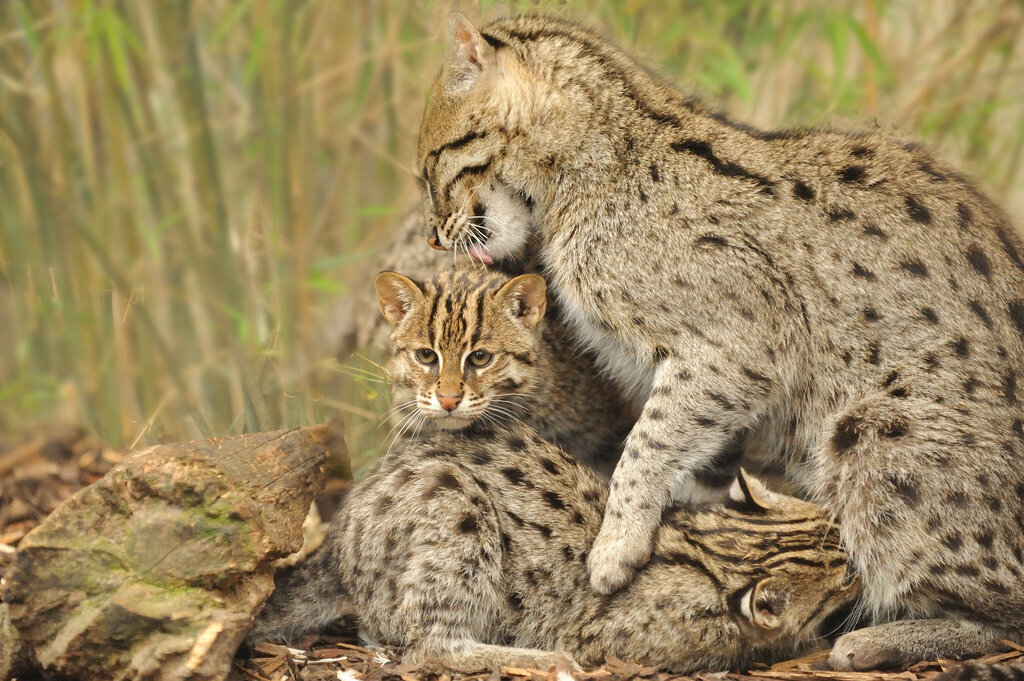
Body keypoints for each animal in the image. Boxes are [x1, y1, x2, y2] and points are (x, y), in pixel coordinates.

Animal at [411, 13, 1024, 671]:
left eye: (429, 168)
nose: (434, 235)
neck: (587, 176)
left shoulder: (738, 348)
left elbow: (648, 440)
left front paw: (615, 545)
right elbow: (698, 458)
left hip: (871, 430)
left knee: (1005, 609)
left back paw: (871, 641)